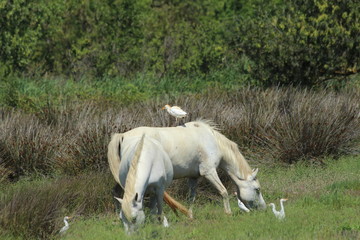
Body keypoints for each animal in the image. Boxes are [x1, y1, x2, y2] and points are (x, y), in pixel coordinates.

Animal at [108, 120, 266, 216]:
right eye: (257, 190)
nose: (263, 208)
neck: (211, 140)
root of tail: (122, 136)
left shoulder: (193, 177)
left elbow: (191, 197)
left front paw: (190, 214)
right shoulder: (209, 172)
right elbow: (223, 191)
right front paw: (228, 213)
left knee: (116, 192)